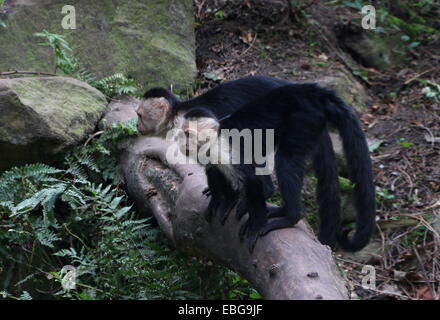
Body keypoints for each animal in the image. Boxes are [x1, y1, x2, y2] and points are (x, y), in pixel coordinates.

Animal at [137, 77, 374, 252]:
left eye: (139, 115)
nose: (137, 125)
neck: (176, 118)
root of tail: (310, 91)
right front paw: (220, 196)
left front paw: (226, 199)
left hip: (299, 121)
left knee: (283, 161)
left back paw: (284, 211)